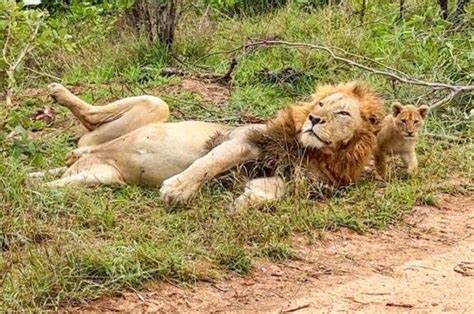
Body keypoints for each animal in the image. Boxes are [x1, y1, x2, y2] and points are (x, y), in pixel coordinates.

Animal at [31, 82, 386, 207]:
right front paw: (176, 190)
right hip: (156, 106)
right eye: (321, 104)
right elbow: (208, 163)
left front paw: (244, 204)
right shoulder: (244, 138)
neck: (313, 151)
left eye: (342, 112)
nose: (313, 119)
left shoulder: (293, 179)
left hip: (103, 178)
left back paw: (30, 183)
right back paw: (58, 93)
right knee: (91, 119)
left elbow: (268, 192)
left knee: (49, 183)